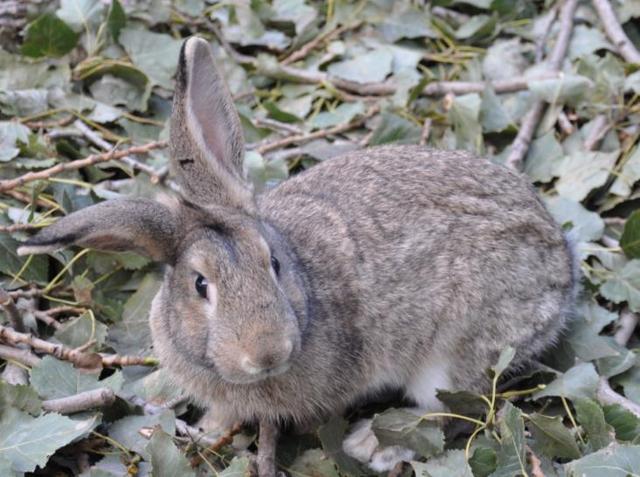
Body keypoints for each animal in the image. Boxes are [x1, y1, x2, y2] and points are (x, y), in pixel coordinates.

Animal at [18, 37, 580, 472]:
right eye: (200, 285)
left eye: (273, 263)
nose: (267, 352)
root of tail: (561, 271)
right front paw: (200, 431)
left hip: (454, 352)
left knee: (452, 409)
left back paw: (370, 445)